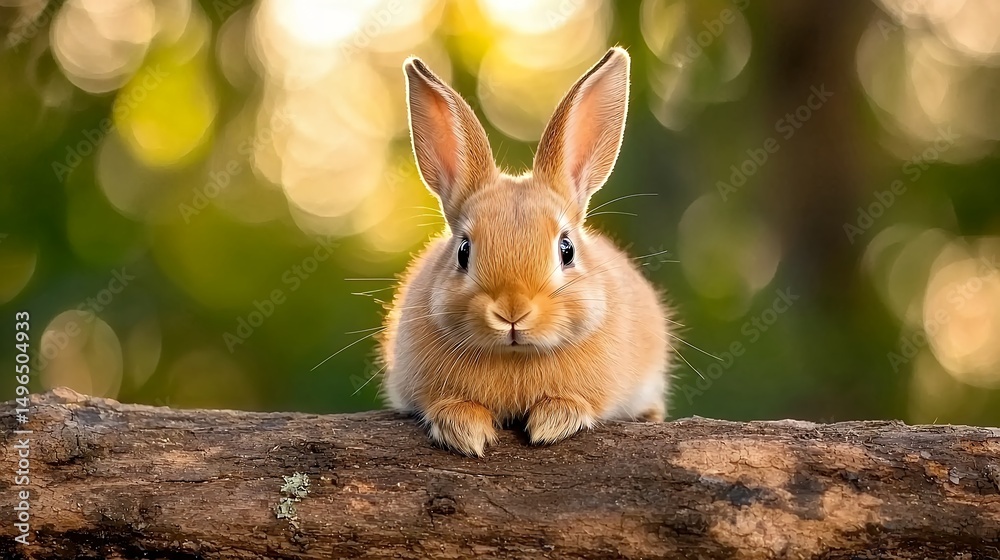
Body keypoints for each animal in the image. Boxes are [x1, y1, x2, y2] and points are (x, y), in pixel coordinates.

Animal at [381, 47, 673, 456]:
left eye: (566, 249)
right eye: (463, 251)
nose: (513, 312)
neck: (516, 355)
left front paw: (555, 419)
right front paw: (463, 428)